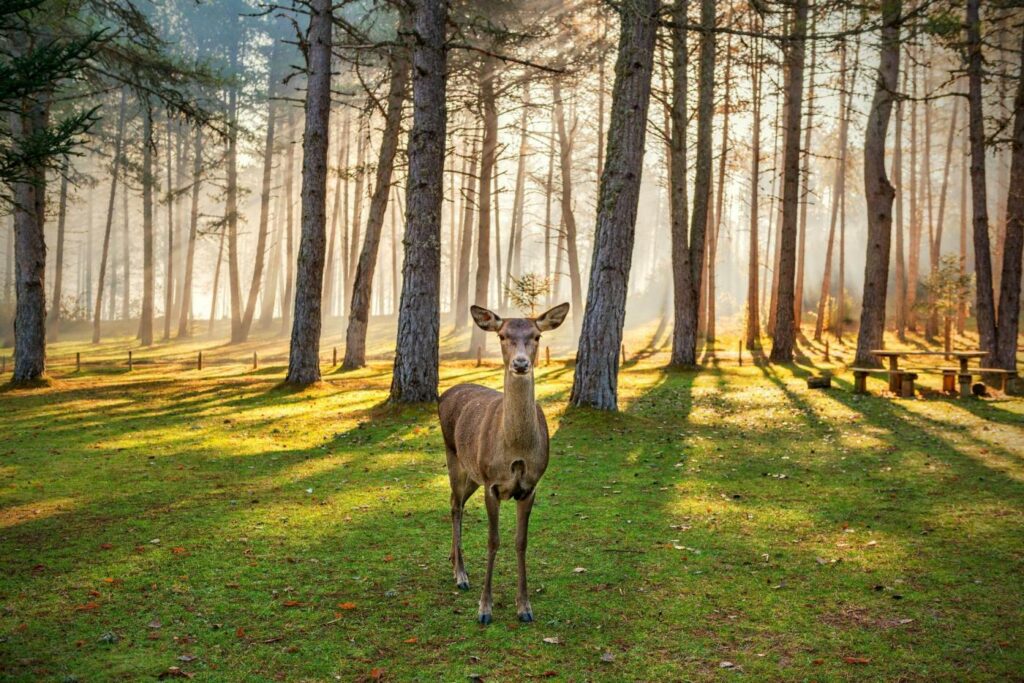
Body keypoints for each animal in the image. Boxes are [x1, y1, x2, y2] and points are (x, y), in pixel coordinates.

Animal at [438, 301, 573, 626]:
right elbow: (493, 540)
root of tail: (443, 394)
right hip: (454, 455)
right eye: (502, 335)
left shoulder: (530, 486)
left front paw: (524, 607)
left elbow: (521, 541)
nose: (521, 363)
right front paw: (484, 608)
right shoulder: (493, 483)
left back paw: (453, 560)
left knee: (455, 502)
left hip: (472, 473)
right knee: (455, 505)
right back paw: (460, 574)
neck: (516, 450)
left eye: (537, 336)